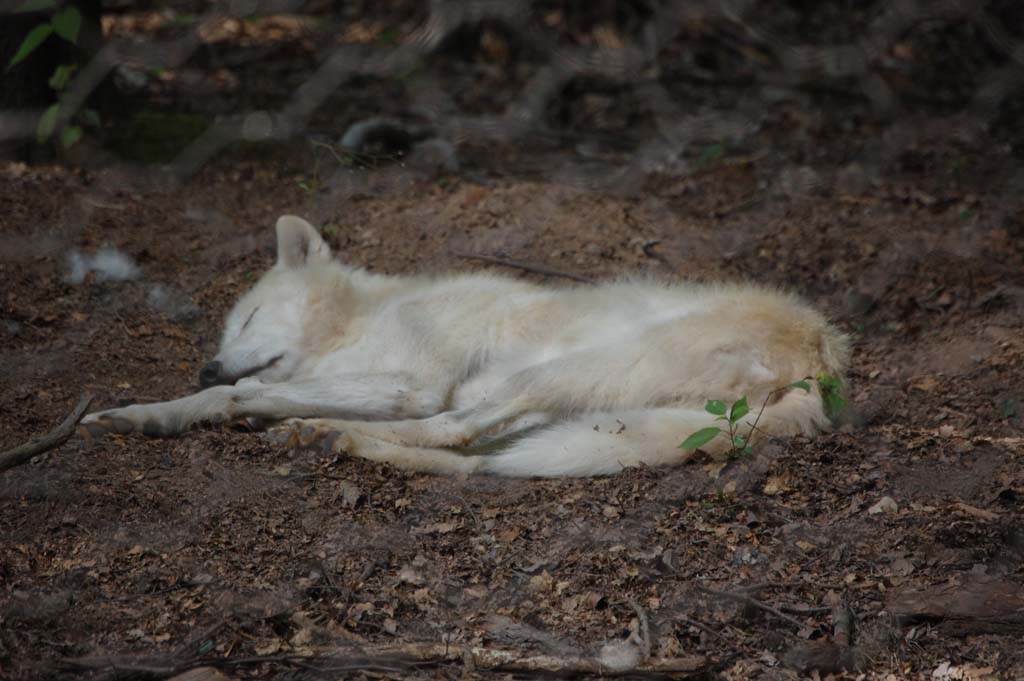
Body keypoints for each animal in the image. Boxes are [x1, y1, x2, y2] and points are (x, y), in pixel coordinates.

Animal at [79, 215, 847, 475]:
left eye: (248, 318)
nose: (207, 359)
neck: (364, 320)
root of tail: (821, 358)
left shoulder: (407, 383)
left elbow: (242, 390)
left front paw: (196, 405)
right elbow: (235, 393)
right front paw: (141, 414)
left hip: (556, 376)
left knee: (455, 433)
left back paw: (322, 432)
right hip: (569, 413)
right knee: (475, 458)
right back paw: (333, 439)